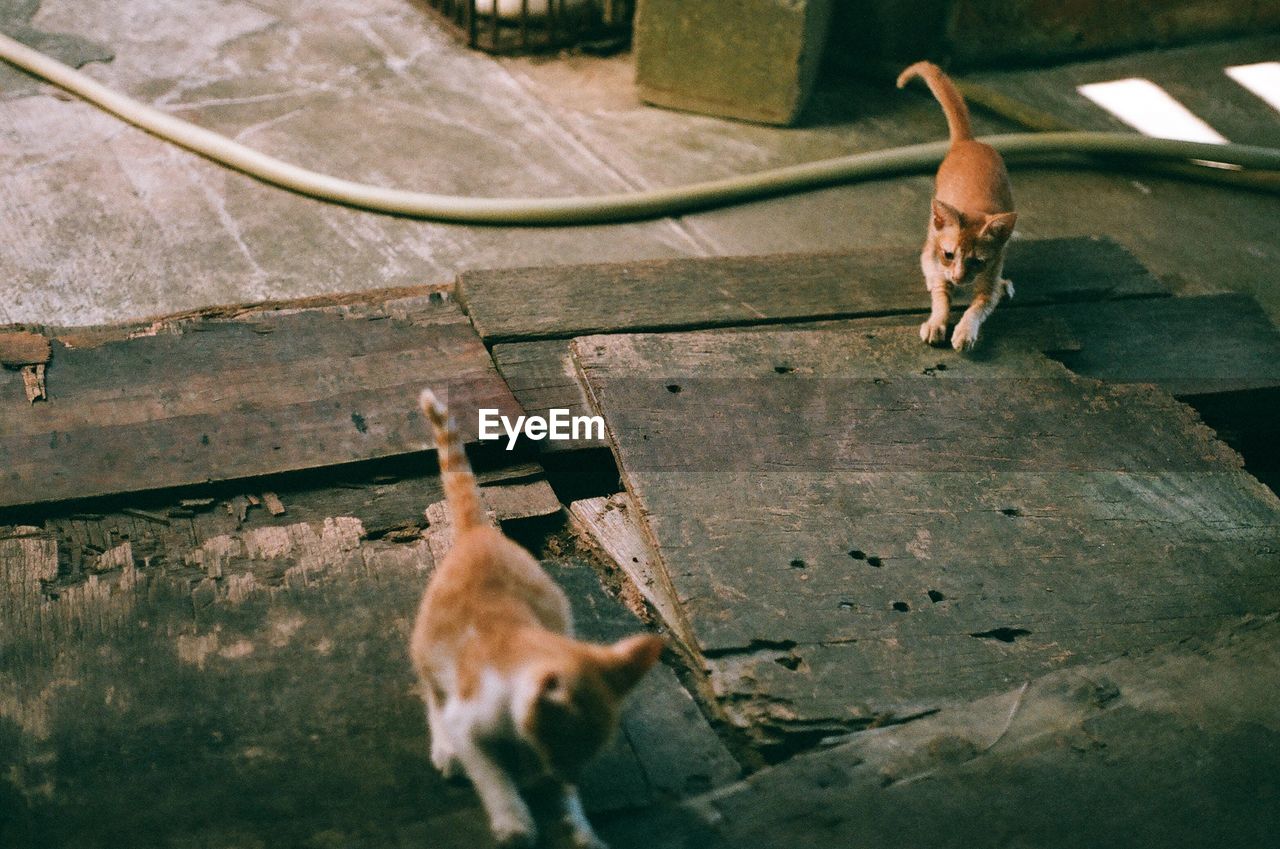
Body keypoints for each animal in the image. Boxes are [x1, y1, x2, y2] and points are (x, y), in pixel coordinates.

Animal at [412, 391, 670, 849]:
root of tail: (479, 533)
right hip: (428, 647)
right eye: (565, 746)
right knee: (433, 695)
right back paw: (444, 749)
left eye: (586, 756)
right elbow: (491, 774)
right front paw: (514, 823)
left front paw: (578, 827)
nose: (568, 774)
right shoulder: (470, 719)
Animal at [896, 61, 1013, 350]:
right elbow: (941, 298)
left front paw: (965, 332)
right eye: (949, 254)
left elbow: (977, 309)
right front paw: (936, 323)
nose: (958, 278)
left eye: (977, 261)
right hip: (931, 230)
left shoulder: (990, 278)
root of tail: (968, 142)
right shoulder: (939, 266)